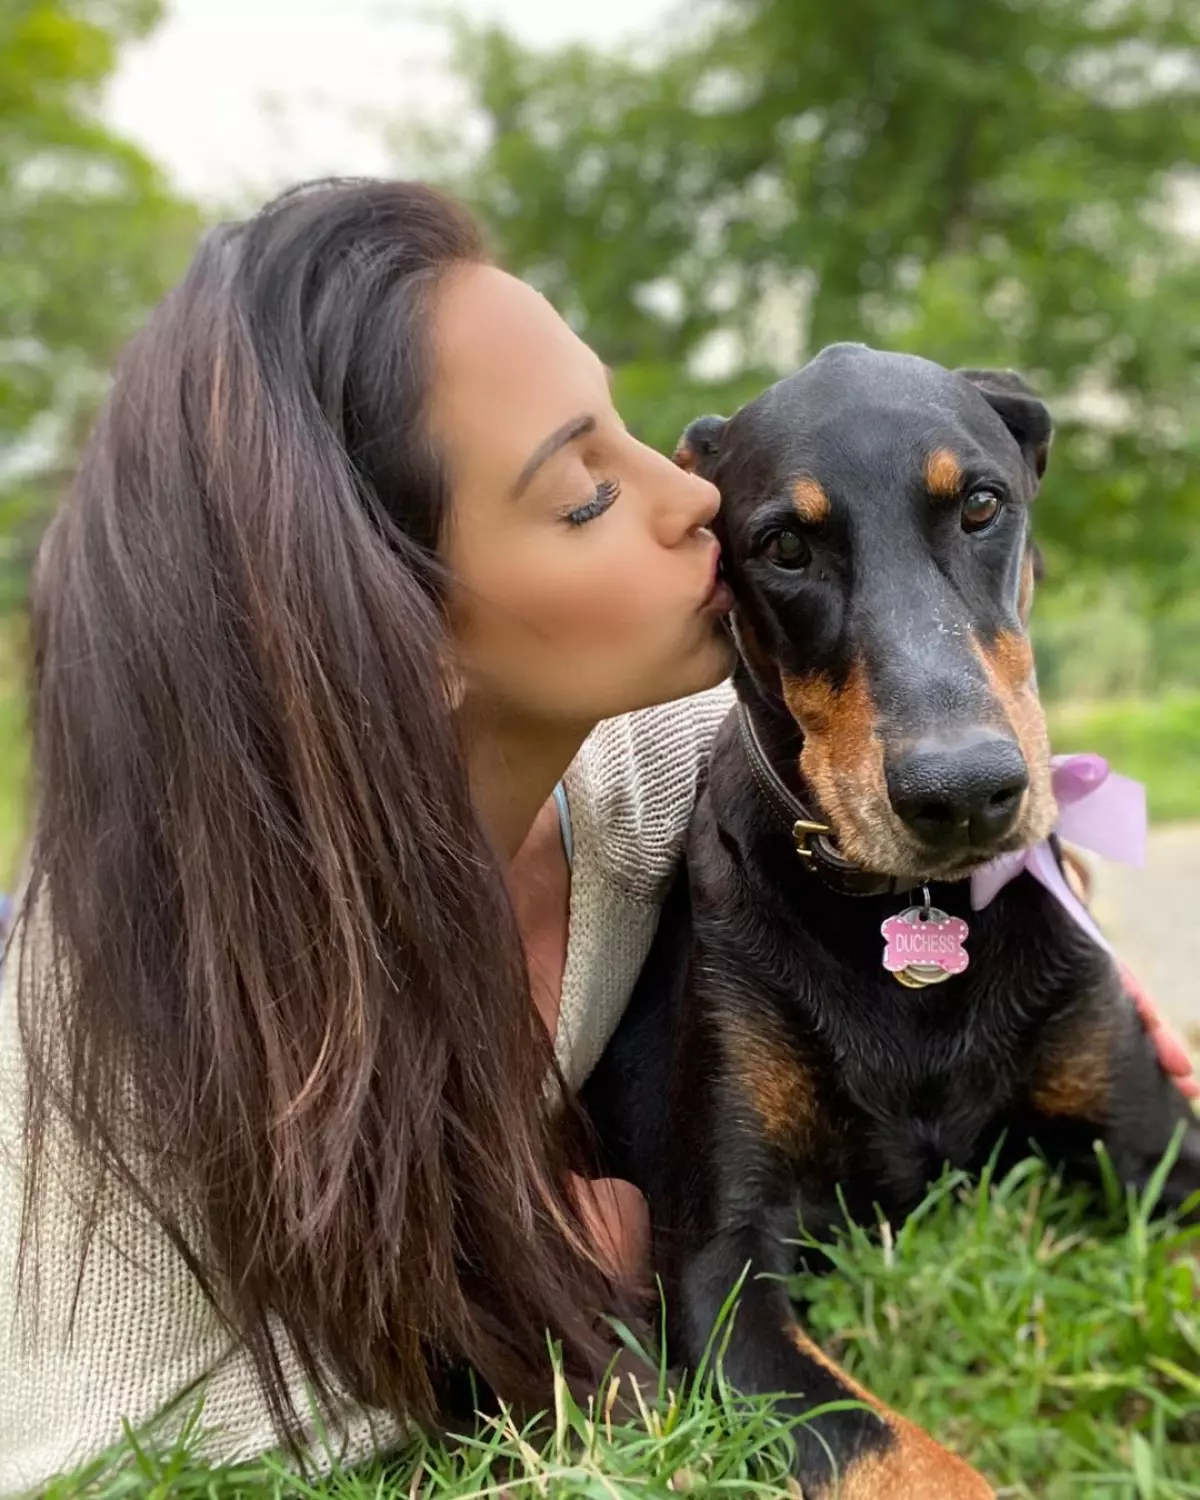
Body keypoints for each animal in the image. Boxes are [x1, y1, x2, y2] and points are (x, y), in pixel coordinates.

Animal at [579, 343, 1188, 1500]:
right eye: (784, 546)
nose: (965, 794)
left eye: (982, 505)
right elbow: (897, 1454)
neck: (911, 916)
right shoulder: (718, 1264)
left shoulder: (1154, 1141)